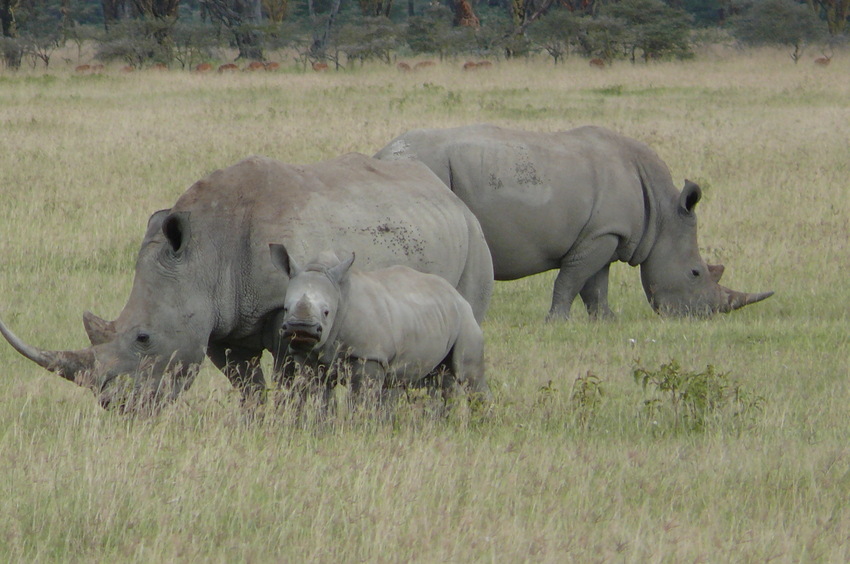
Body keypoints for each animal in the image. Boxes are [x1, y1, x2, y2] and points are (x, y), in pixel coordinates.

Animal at [264, 245, 490, 404]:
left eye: (327, 312)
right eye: (285, 308)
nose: (301, 328)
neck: (340, 295)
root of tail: (456, 294)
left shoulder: (369, 355)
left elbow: (361, 399)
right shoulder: (306, 357)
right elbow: (318, 396)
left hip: (465, 317)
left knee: (469, 375)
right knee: (438, 378)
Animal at [374, 124, 772, 320]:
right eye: (695, 273)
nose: (703, 316)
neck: (662, 213)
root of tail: (384, 152)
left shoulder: (606, 233)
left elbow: (595, 284)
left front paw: (607, 321)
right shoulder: (601, 234)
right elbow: (572, 280)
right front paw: (557, 321)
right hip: (429, 169)